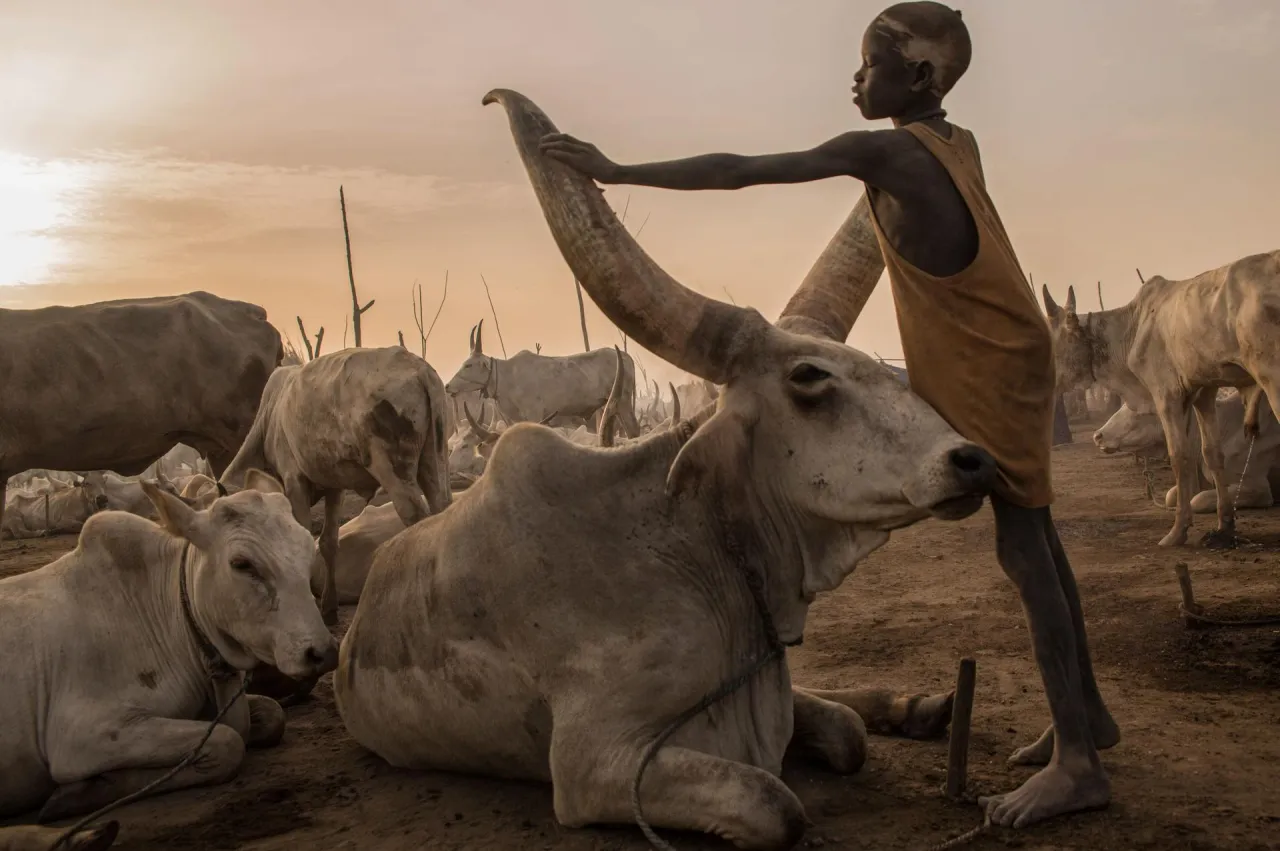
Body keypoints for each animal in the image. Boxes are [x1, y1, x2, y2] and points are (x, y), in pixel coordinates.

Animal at [220, 345, 455, 624]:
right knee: (442, 507)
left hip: (392, 468)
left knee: (414, 516)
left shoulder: (294, 480)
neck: (269, 418)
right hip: (435, 460)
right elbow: (328, 542)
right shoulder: (334, 487)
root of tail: (421, 371)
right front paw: (329, 609)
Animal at [448, 319, 645, 435]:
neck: (506, 376)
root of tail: (625, 356)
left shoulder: (534, 413)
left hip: (623, 402)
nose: (448, 386)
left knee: (633, 430)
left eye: (469, 365)